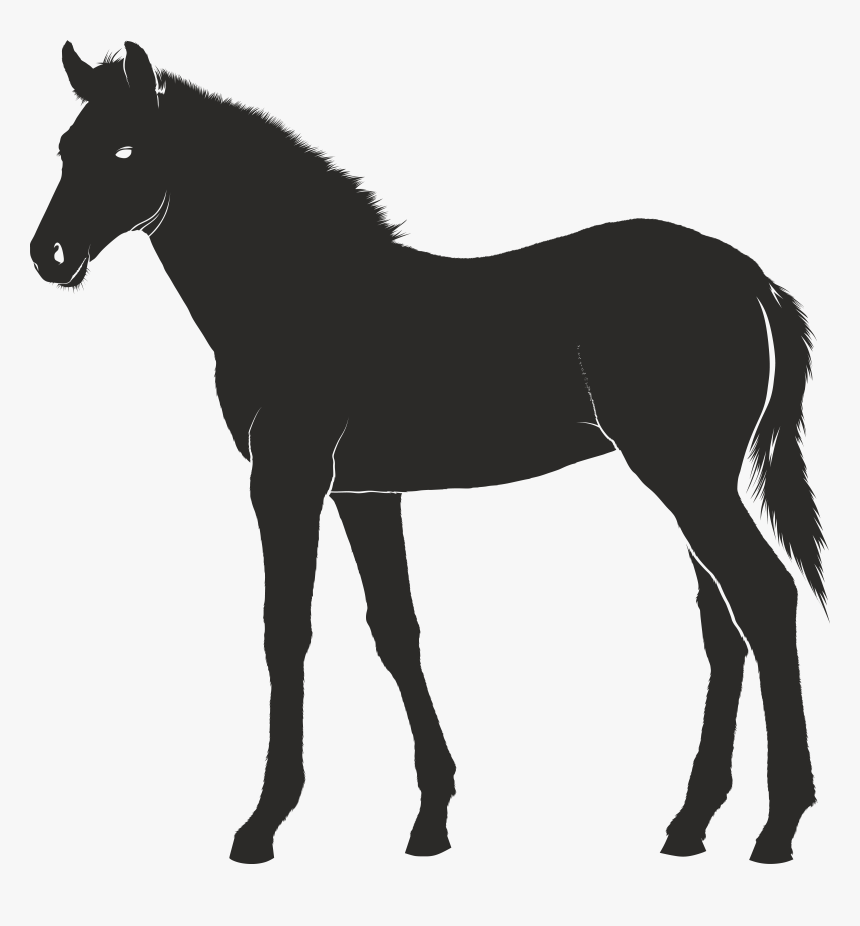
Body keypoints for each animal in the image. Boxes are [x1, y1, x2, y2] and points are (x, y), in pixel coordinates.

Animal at [30, 41, 825, 866]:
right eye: (64, 150)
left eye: (125, 151)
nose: (48, 255)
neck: (299, 293)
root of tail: (752, 281)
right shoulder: (363, 491)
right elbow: (395, 630)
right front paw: (431, 817)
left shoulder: (287, 477)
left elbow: (286, 630)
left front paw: (263, 823)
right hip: (692, 482)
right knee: (722, 623)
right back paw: (690, 822)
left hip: (686, 478)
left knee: (764, 598)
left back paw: (778, 825)